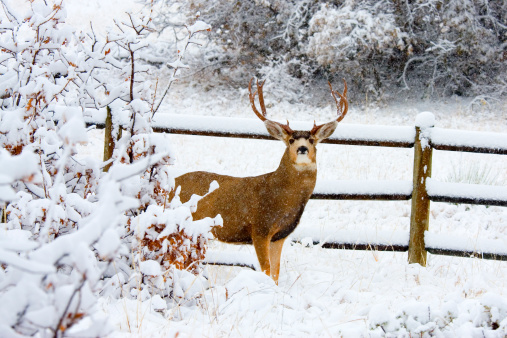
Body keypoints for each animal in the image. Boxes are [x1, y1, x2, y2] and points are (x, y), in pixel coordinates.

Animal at [175, 78, 350, 282]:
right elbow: (266, 270)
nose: (302, 149)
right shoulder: (259, 228)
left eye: (312, 140)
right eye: (291, 140)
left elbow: (275, 272)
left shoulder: (279, 236)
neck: (281, 198)